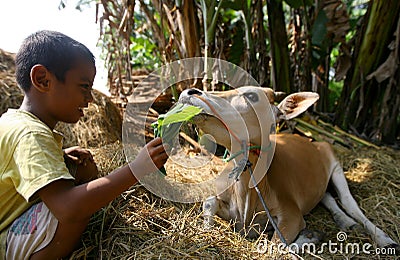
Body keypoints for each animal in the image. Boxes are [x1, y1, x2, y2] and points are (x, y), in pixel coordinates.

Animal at [179, 87, 400, 252]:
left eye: (252, 96)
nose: (190, 91)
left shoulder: (291, 215)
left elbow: (276, 247)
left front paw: (311, 236)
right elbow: (208, 203)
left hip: (334, 162)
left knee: (349, 203)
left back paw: (384, 238)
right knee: (327, 197)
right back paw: (346, 222)